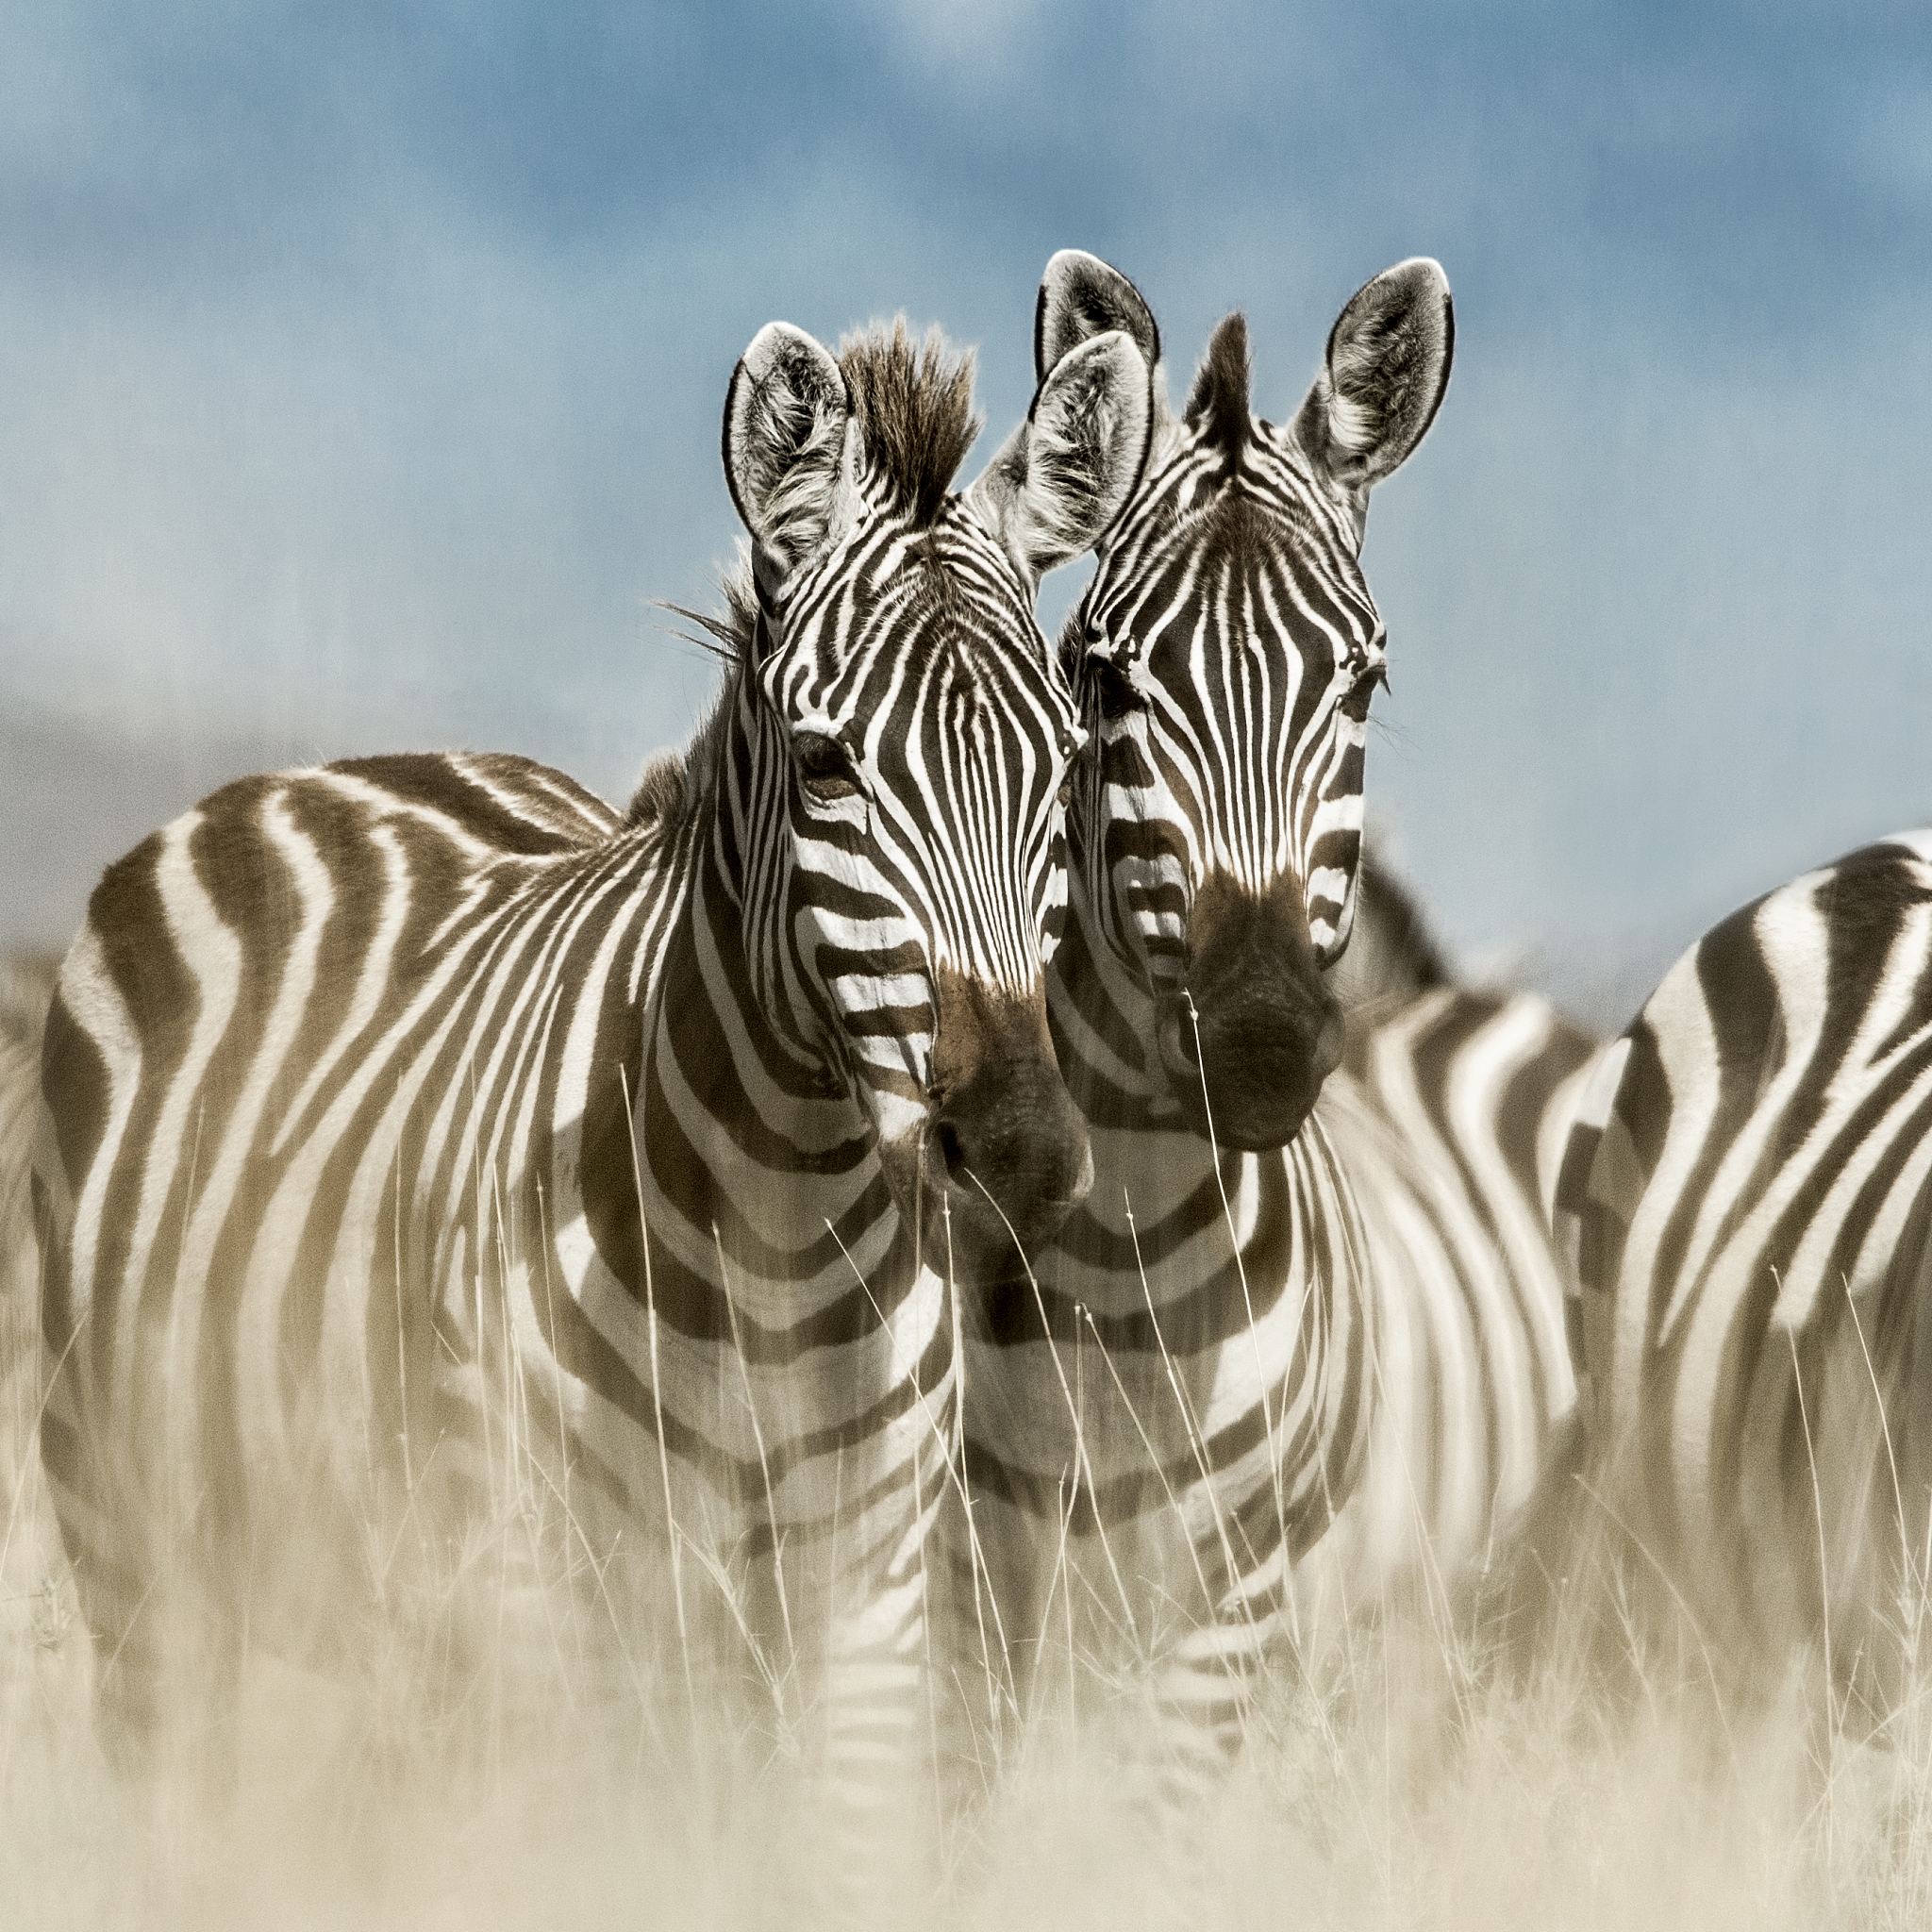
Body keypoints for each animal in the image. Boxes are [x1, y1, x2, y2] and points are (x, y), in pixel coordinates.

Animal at [28, 312, 1154, 1838]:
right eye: (823, 766)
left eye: (1067, 768)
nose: (1022, 1153)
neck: (779, 1245)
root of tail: (317, 772)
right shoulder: (538, 1597)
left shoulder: (867, 1604)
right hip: (132, 1540)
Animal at [950, 249, 1455, 1787]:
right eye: (1104, 677)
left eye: (1364, 681)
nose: (1261, 1044)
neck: (1124, 1276)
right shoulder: (971, 1570)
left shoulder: (1231, 1605)